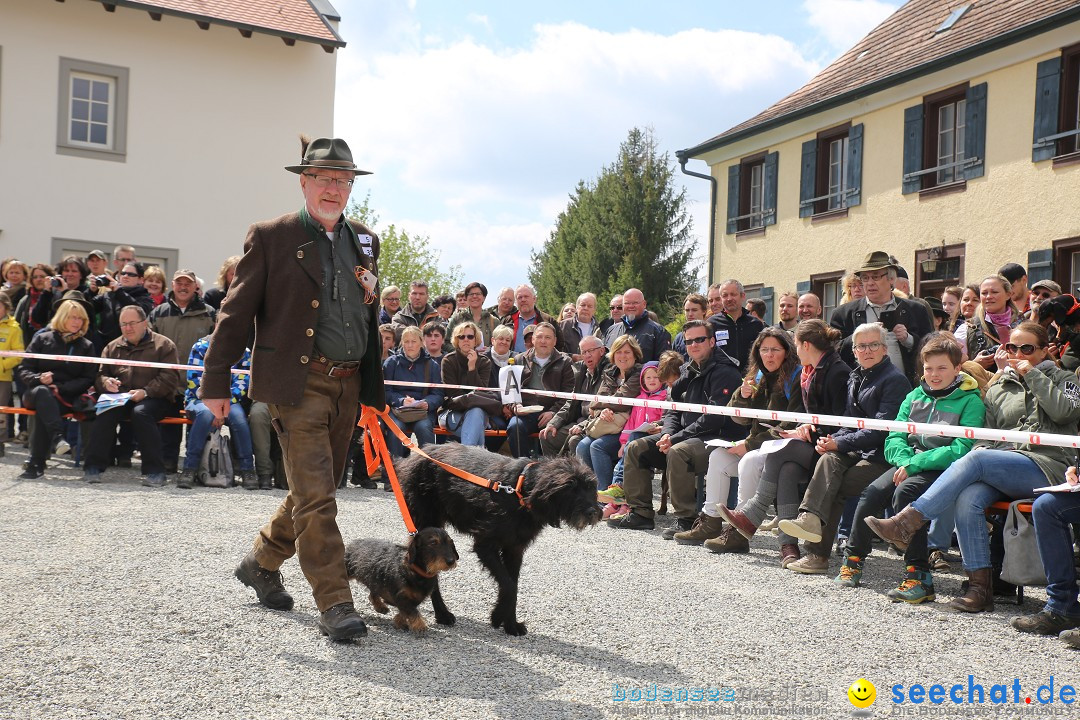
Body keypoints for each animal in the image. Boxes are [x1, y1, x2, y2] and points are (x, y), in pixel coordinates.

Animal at [397, 444, 604, 634]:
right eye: (570, 487)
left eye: (591, 487)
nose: (593, 512)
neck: (520, 491)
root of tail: (421, 451)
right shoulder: (485, 545)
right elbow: (509, 586)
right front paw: (498, 616)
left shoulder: (514, 549)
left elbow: (513, 584)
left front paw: (510, 624)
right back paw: (442, 613)